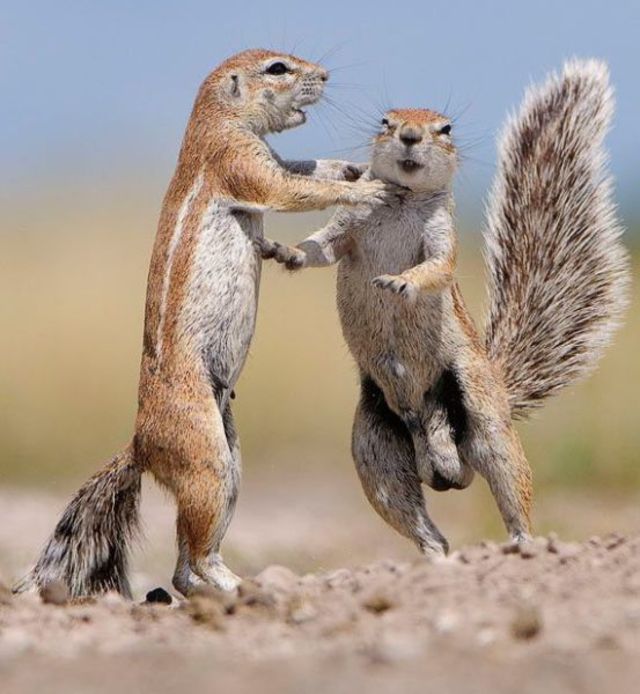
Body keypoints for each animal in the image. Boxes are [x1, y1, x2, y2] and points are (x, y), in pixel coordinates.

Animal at [15, 49, 398, 599]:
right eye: (277, 68)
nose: (325, 75)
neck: (218, 120)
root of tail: (141, 446)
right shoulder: (238, 162)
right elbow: (292, 187)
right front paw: (369, 189)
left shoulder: (265, 155)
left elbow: (302, 166)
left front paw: (354, 167)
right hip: (206, 461)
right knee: (193, 554)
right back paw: (239, 587)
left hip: (230, 457)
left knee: (184, 566)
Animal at [259, 59, 630, 555]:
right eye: (386, 121)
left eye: (446, 128)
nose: (410, 136)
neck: (401, 200)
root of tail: (443, 460)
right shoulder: (347, 227)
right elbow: (321, 248)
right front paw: (286, 252)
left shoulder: (441, 240)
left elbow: (435, 268)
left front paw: (401, 281)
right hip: (374, 448)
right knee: (416, 518)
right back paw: (435, 557)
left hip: (484, 416)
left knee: (511, 485)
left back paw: (522, 543)